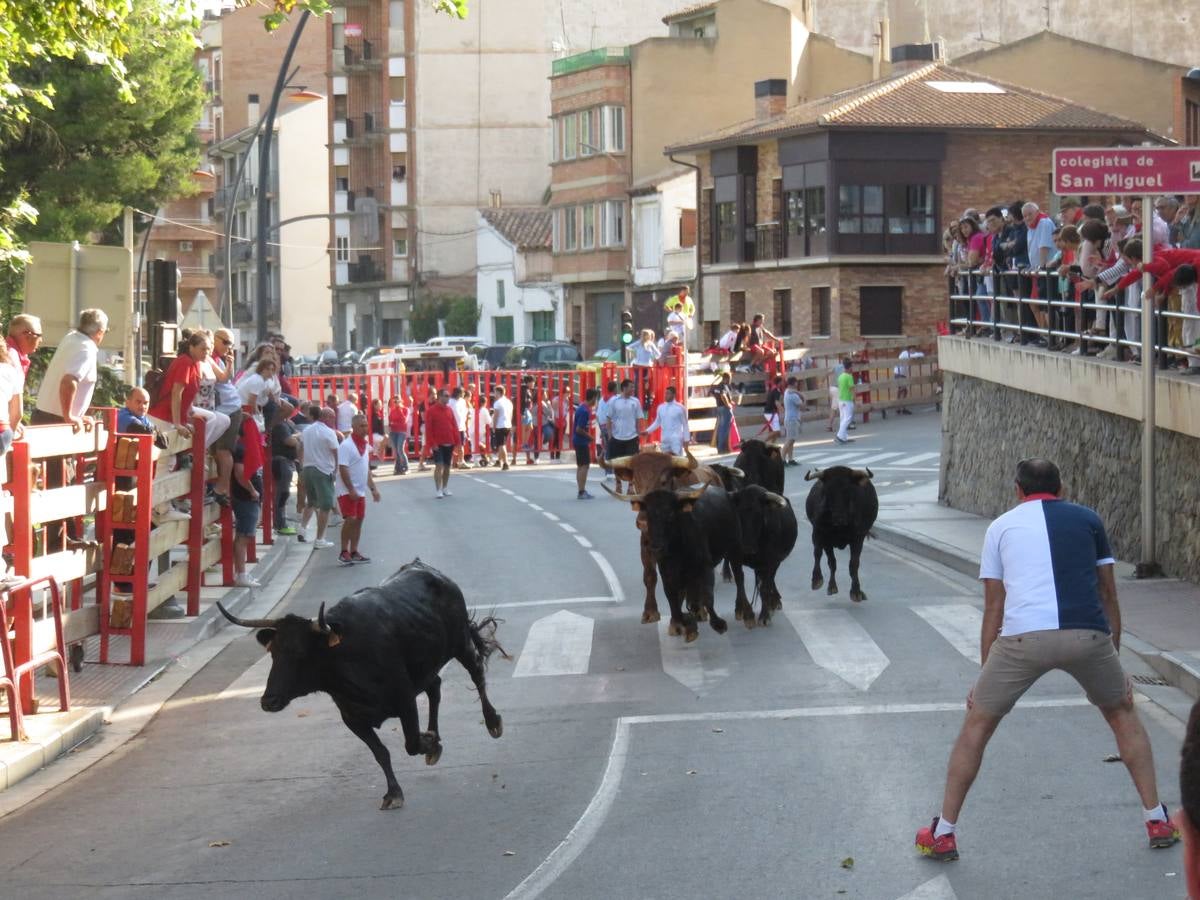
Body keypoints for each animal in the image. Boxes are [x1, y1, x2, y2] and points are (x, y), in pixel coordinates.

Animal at [218, 561, 504, 816]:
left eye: (301, 653)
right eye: (273, 653)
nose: (269, 701)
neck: (346, 658)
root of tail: (429, 570)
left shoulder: (405, 700)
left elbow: (411, 743)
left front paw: (428, 742)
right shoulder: (352, 718)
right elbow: (381, 753)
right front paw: (394, 792)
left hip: (460, 643)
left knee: (477, 673)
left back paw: (492, 722)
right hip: (426, 666)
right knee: (435, 686)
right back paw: (436, 736)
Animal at [600, 448, 748, 628]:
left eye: (663, 481)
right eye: (635, 482)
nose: (642, 521)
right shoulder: (647, 544)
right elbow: (650, 576)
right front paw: (650, 612)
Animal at [801, 465, 878, 607]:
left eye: (848, 490)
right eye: (827, 491)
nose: (839, 518)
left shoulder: (858, 538)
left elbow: (853, 564)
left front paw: (856, 591)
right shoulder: (820, 535)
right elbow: (823, 557)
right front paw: (818, 580)